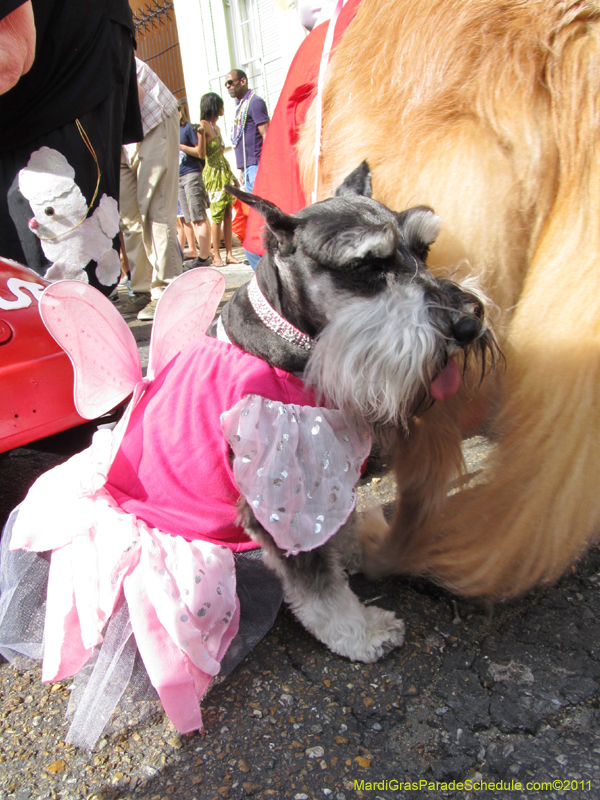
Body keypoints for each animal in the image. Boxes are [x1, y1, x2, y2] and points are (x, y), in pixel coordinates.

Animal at [214, 162, 496, 664]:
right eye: (367, 267)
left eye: (424, 249)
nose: (468, 322)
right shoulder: (277, 495)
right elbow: (320, 590)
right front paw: (363, 631)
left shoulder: (328, 462)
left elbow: (336, 522)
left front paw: (351, 549)